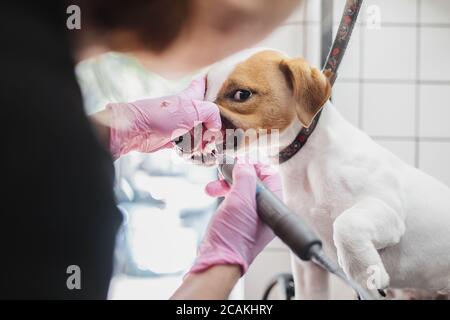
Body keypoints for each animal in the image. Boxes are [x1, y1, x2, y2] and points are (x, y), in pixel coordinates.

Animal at [179, 48, 450, 300]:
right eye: (204, 91)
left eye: (241, 94)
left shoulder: (388, 211)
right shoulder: (308, 264)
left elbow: (346, 225)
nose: (179, 137)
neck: (307, 160)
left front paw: (365, 272)